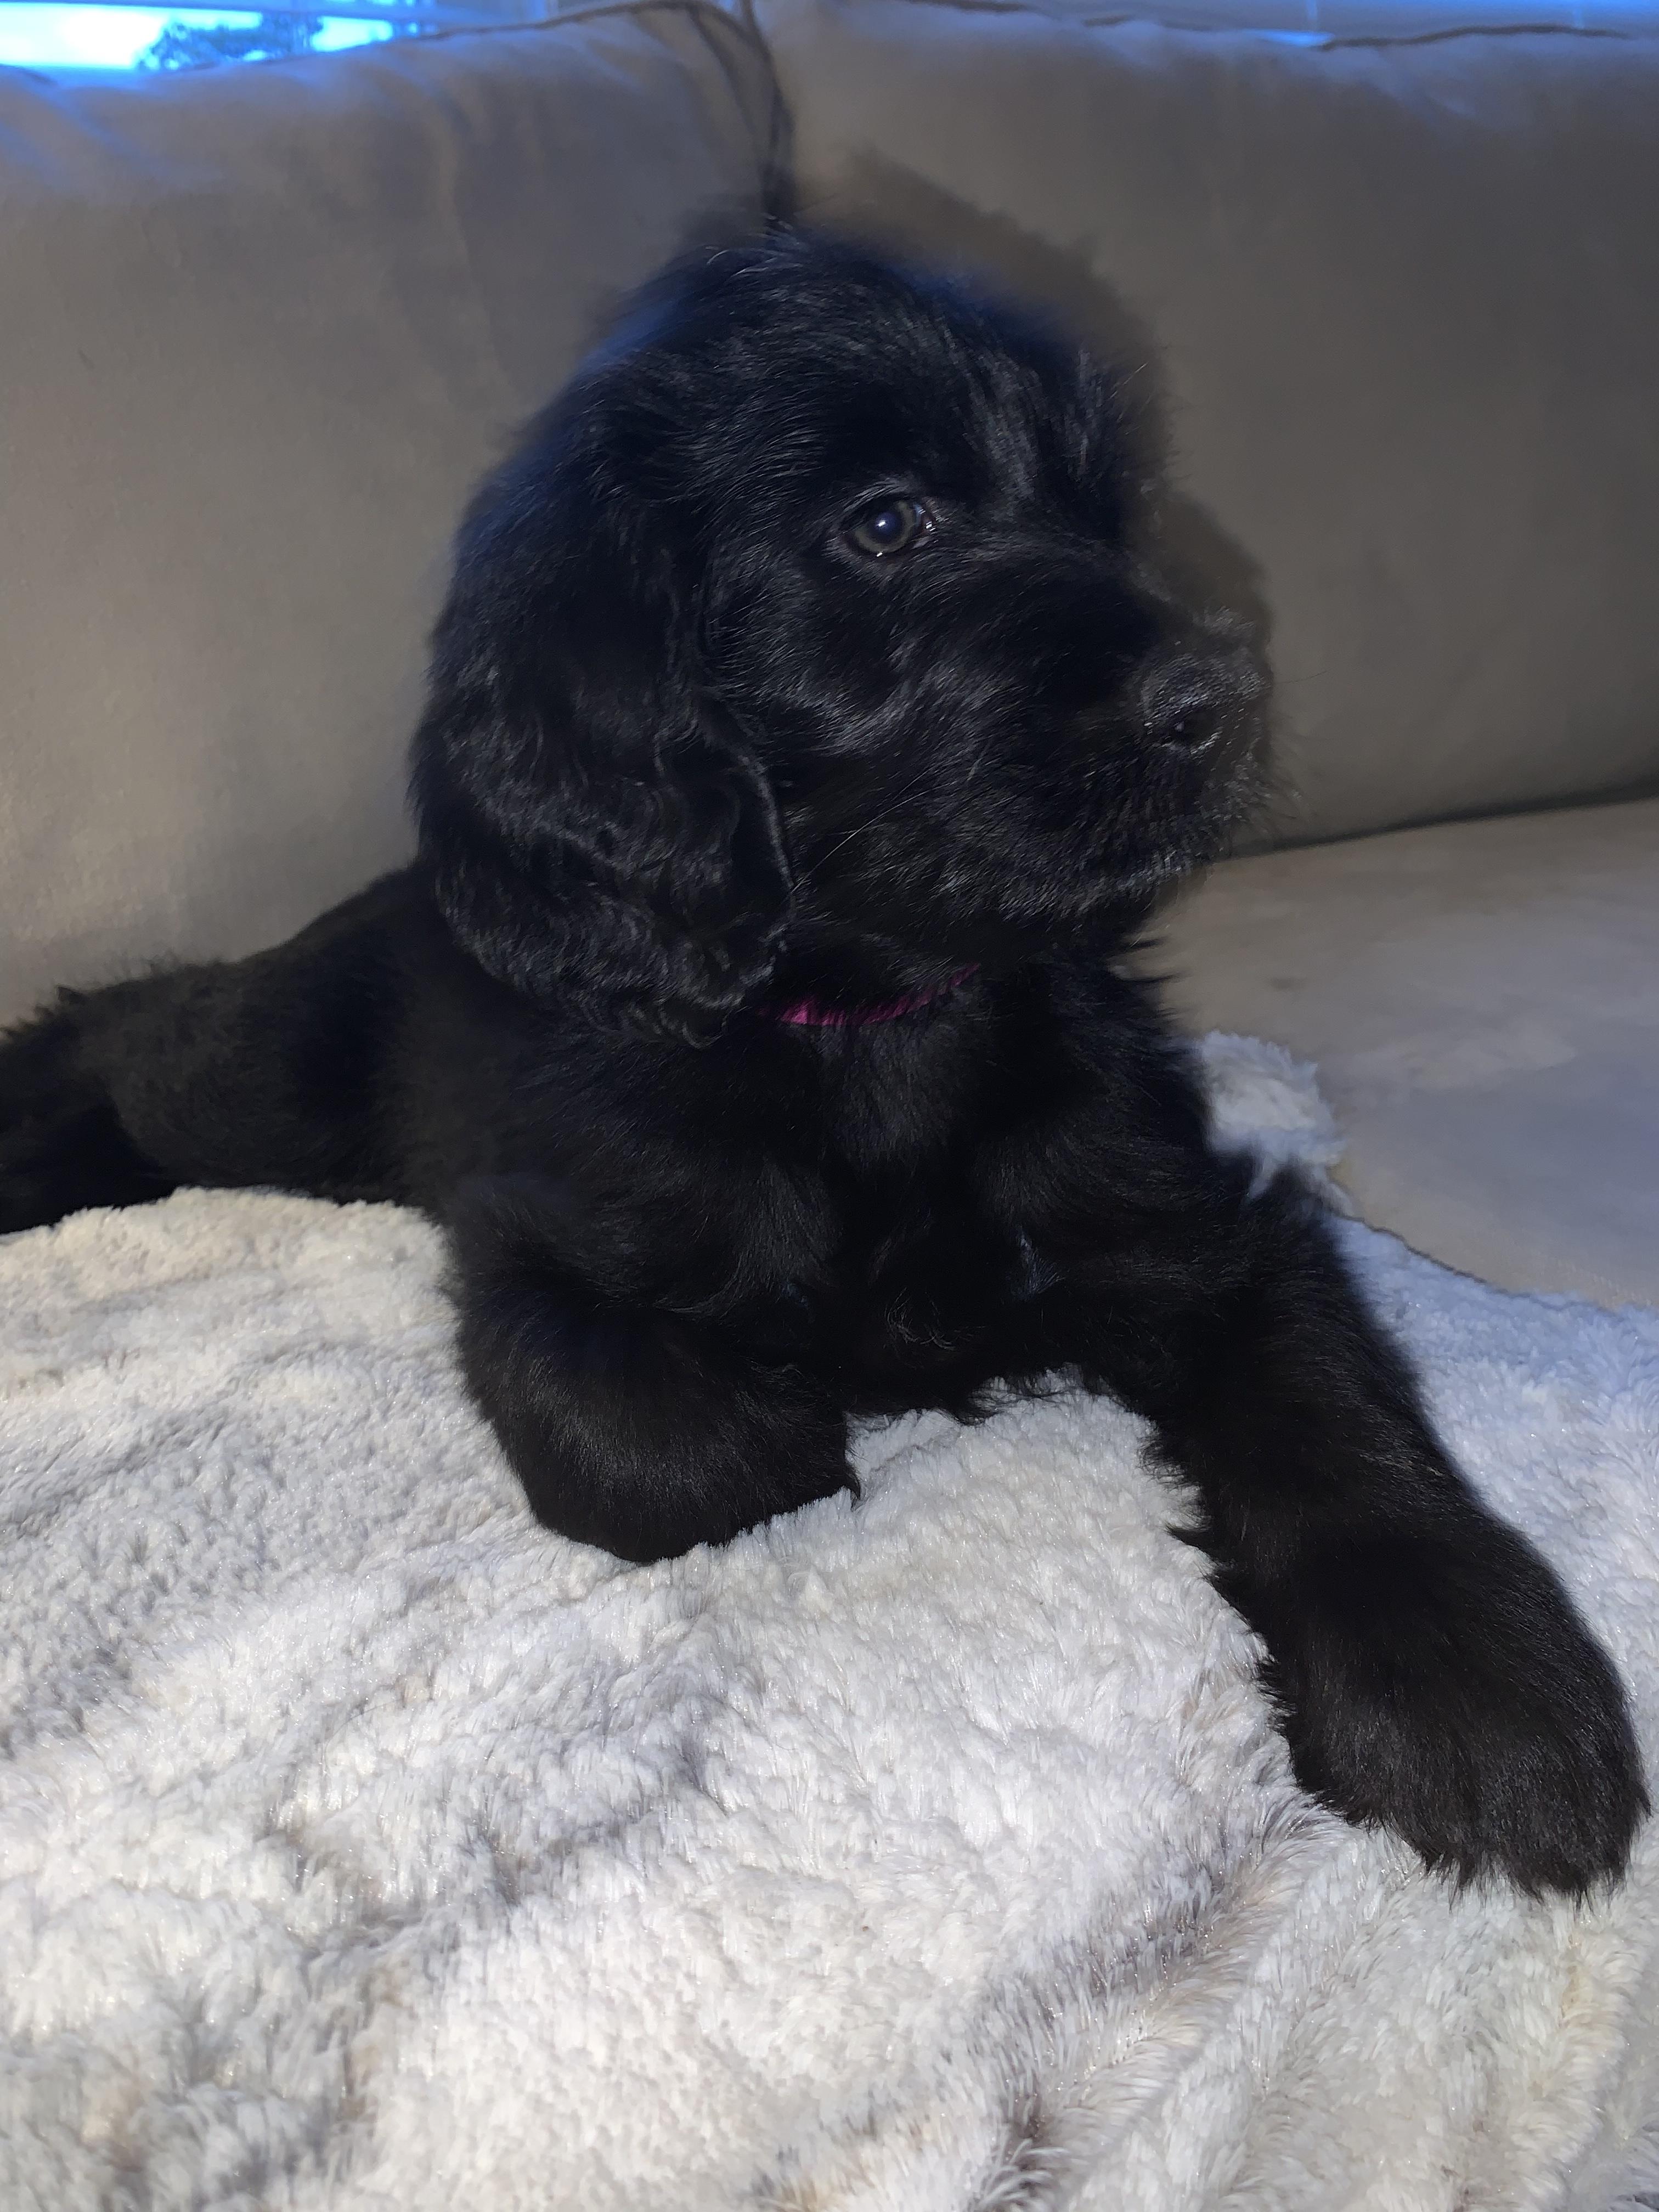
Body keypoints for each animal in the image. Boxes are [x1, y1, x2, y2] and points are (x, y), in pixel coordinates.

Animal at [1, 232, 1644, 1897]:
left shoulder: (1194, 1223)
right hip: (269, 1083)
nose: (1223, 701)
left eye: (1099, 510)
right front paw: (789, 1425)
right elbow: (660, 1444)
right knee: (127, 1028)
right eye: (887, 523)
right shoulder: (544, 1224)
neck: (874, 1025)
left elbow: (1328, 1413)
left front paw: (1472, 1691)